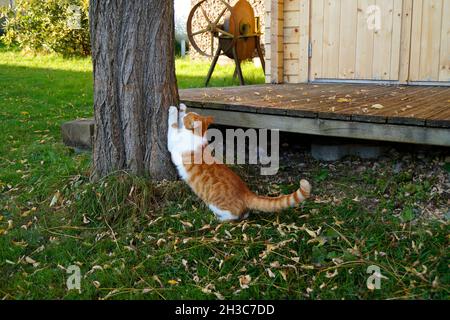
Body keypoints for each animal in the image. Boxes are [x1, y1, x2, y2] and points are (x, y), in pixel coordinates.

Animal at [167, 104, 312, 221]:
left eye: (187, 118)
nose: (184, 113)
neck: (197, 136)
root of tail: (246, 192)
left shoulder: (173, 145)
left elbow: (172, 126)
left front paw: (174, 110)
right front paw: (182, 107)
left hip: (217, 206)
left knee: (234, 216)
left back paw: (219, 219)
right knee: (245, 213)